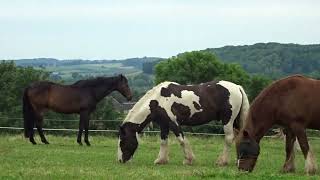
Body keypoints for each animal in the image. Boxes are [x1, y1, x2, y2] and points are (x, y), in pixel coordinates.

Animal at [117, 80, 250, 166]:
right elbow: (163, 142)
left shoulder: (174, 123)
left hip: (228, 120)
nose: (120, 160)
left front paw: (188, 160)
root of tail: (237, 87)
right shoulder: (164, 125)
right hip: (235, 121)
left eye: (122, 142)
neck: (158, 100)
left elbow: (181, 140)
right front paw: (161, 160)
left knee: (229, 139)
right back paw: (238, 161)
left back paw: (222, 162)